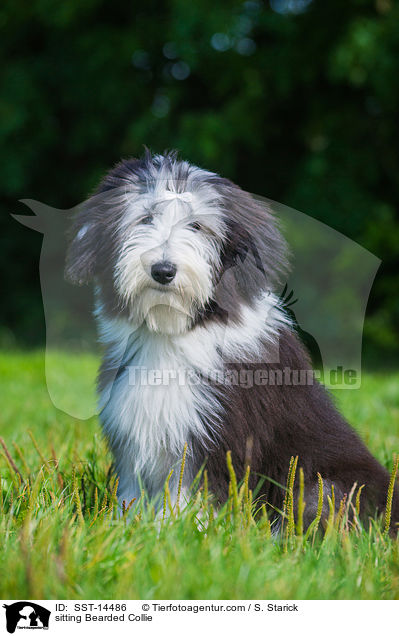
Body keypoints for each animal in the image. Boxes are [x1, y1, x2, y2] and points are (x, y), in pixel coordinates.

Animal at [66, 152, 399, 528]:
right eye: (146, 218)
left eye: (197, 227)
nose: (163, 270)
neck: (172, 332)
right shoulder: (135, 433)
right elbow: (133, 490)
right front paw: (127, 525)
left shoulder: (212, 435)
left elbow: (191, 489)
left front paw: (177, 529)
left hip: (323, 486)